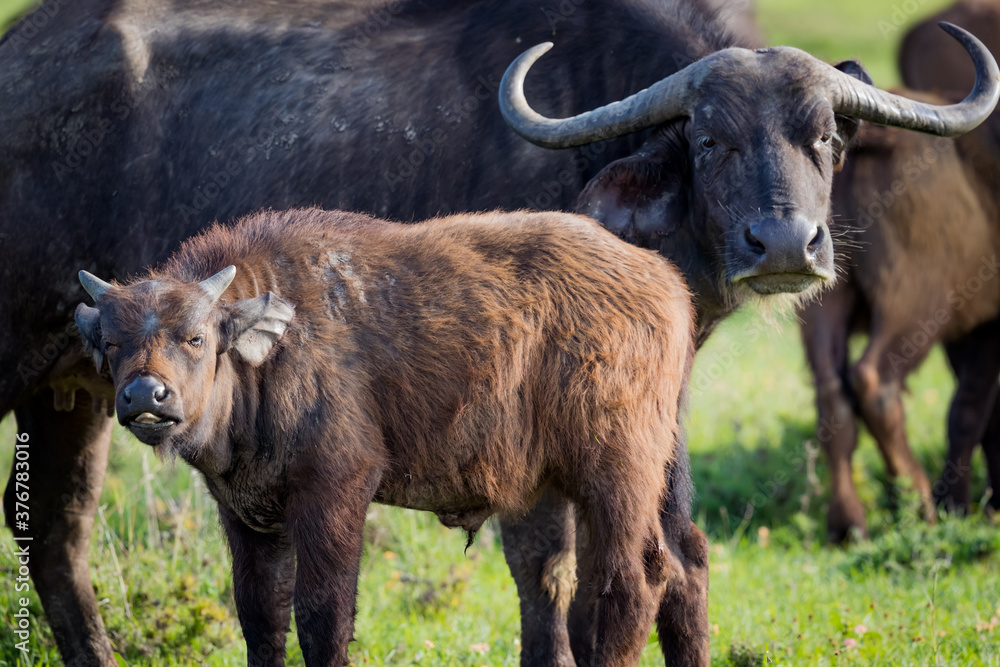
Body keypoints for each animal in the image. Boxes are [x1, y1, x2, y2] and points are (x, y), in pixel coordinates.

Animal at [71, 207, 695, 667]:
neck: (271, 353)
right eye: (111, 343)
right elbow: (260, 618)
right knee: (673, 569)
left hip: (616, 477)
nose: (145, 396)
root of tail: (664, 280)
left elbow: (322, 616)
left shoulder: (336, 491)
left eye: (196, 337)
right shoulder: (245, 512)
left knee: (635, 583)